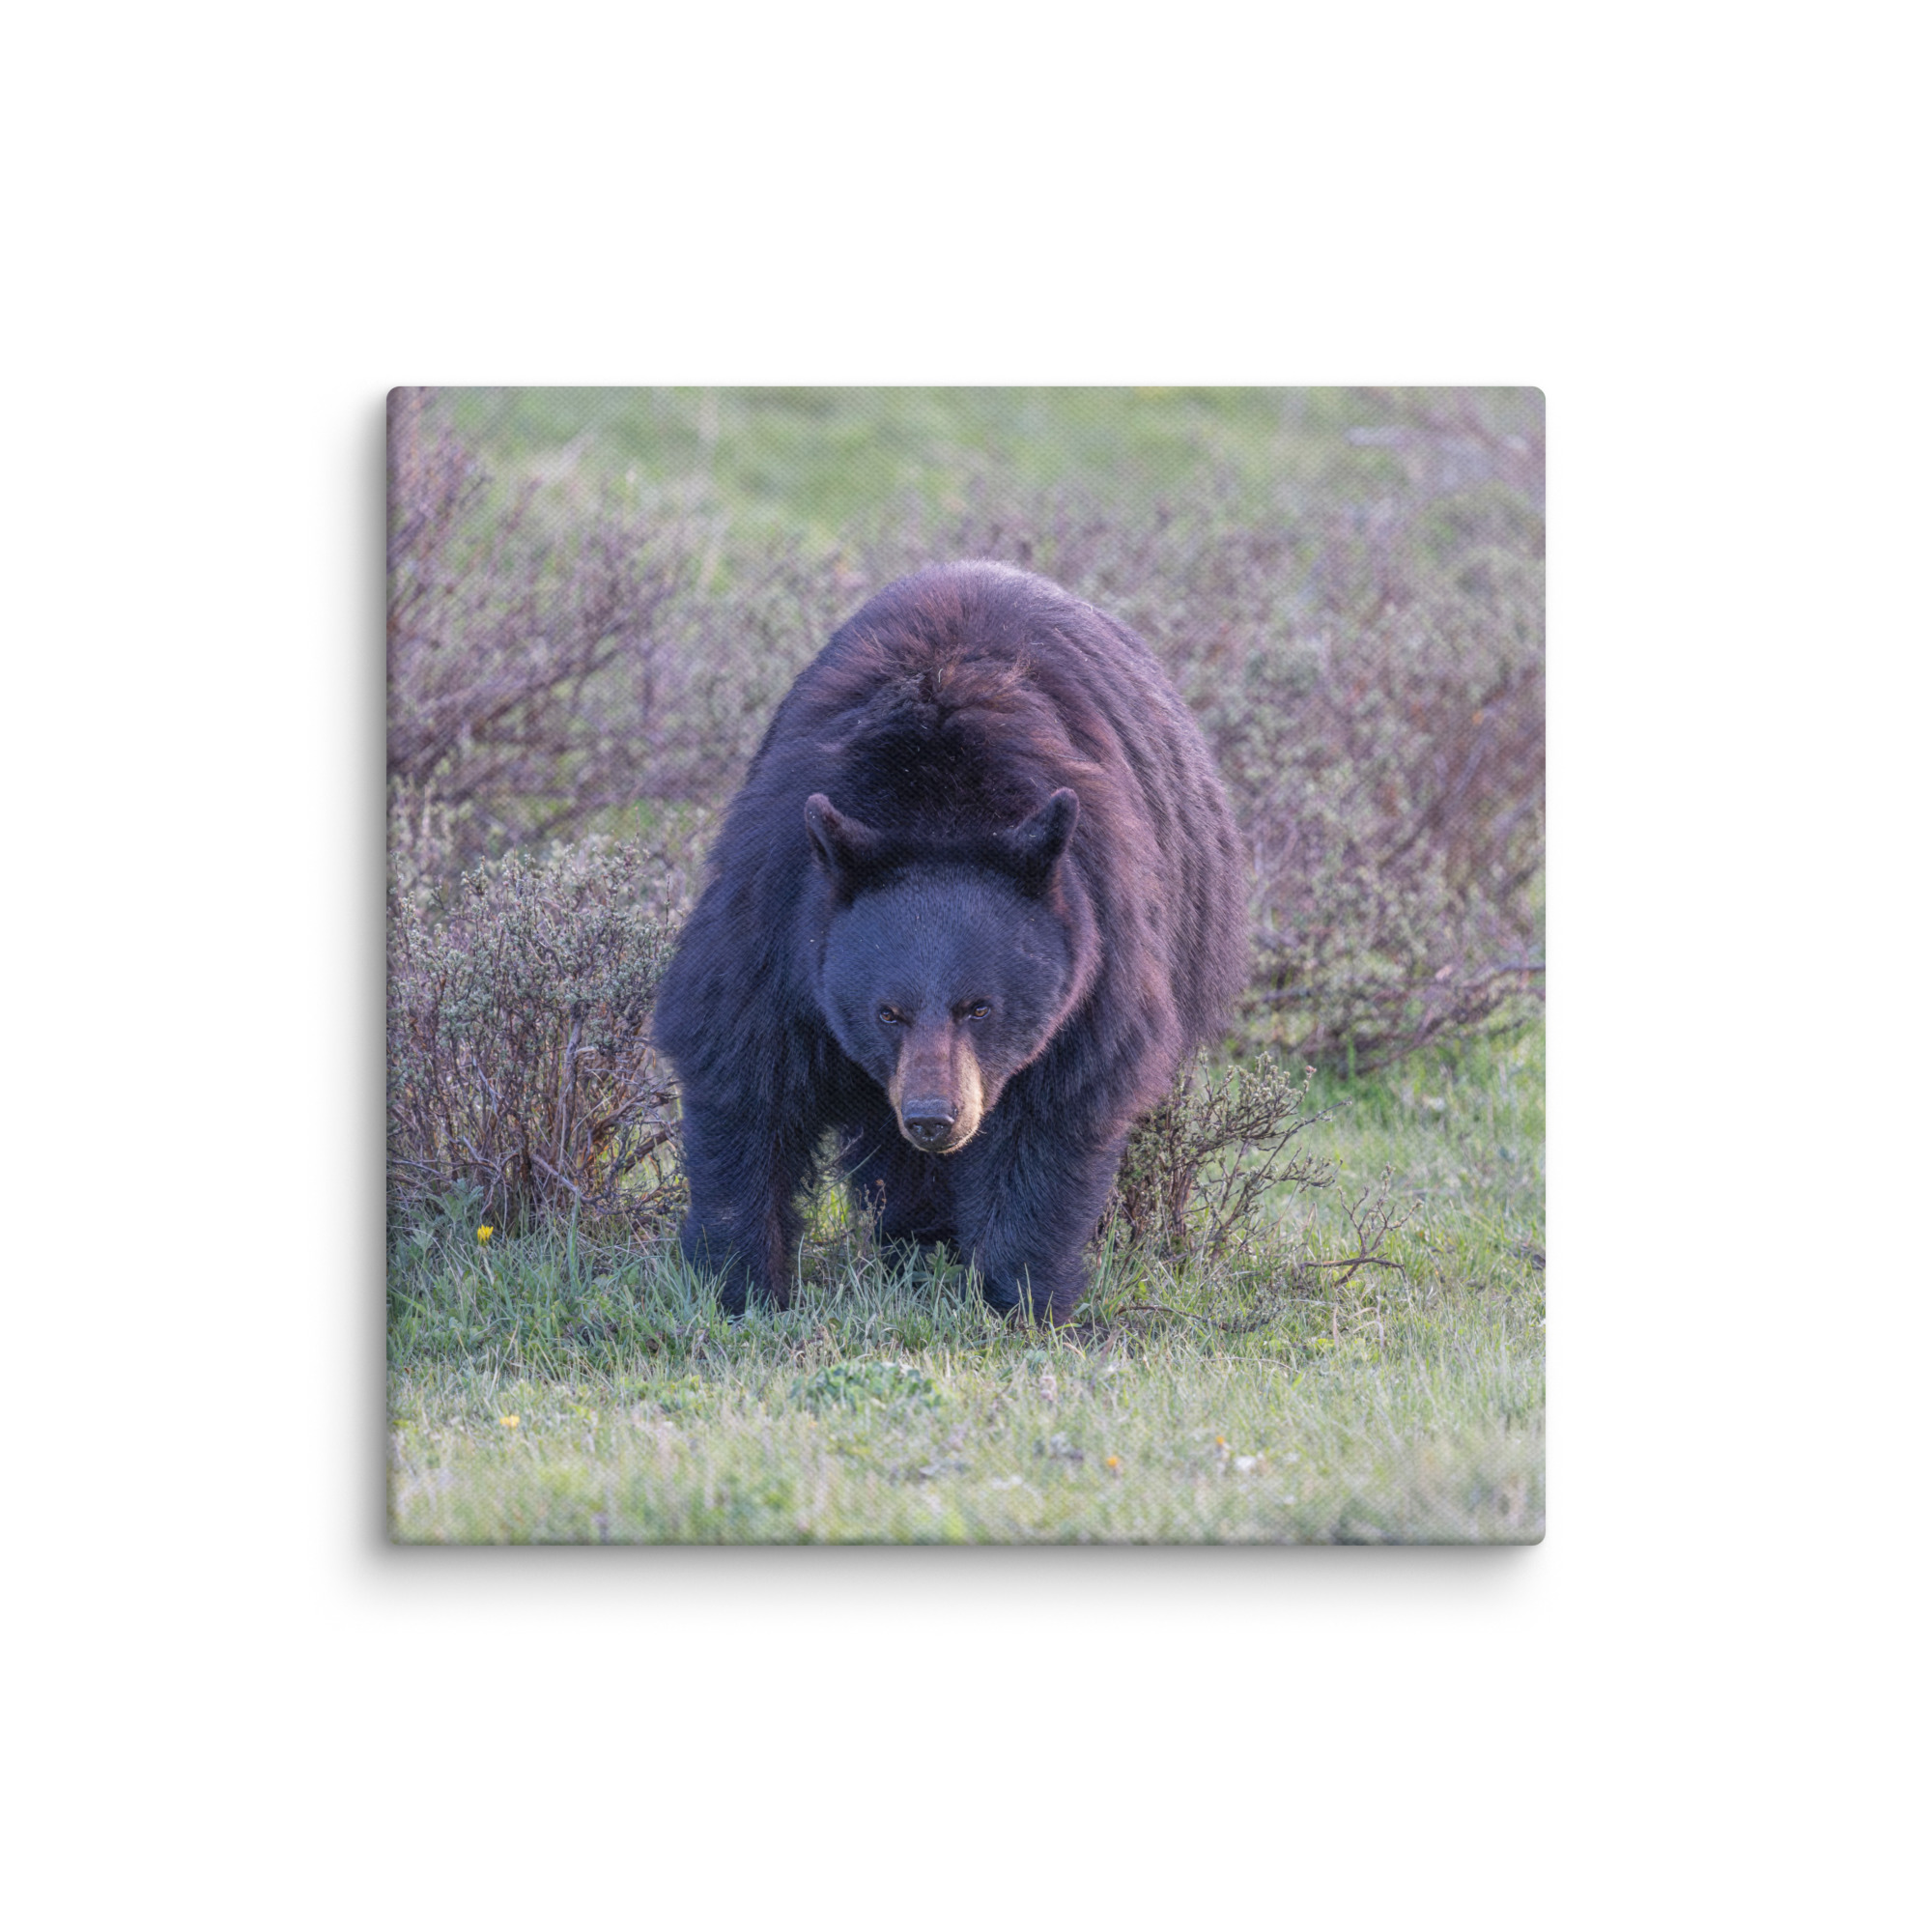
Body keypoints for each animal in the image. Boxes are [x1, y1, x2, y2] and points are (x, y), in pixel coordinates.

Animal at [652, 560, 1248, 1323]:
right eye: (887, 1012)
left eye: (980, 1007)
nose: (935, 1118)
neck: (935, 804)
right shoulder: (778, 911)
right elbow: (743, 1070)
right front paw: (740, 1284)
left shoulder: (1099, 939)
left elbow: (1057, 1110)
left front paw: (1022, 1297)